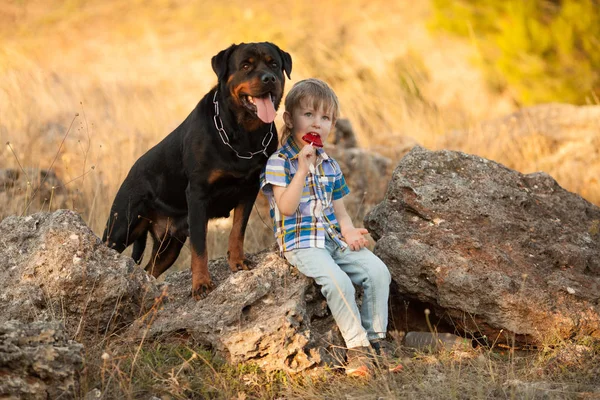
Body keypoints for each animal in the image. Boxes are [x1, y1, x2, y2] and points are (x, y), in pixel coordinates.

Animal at [102, 43, 290, 300]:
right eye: (245, 65)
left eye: (274, 64)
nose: (269, 78)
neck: (243, 134)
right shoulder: (198, 195)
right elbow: (200, 247)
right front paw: (201, 284)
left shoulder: (249, 190)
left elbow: (237, 231)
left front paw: (237, 262)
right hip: (121, 227)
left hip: (169, 245)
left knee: (150, 270)